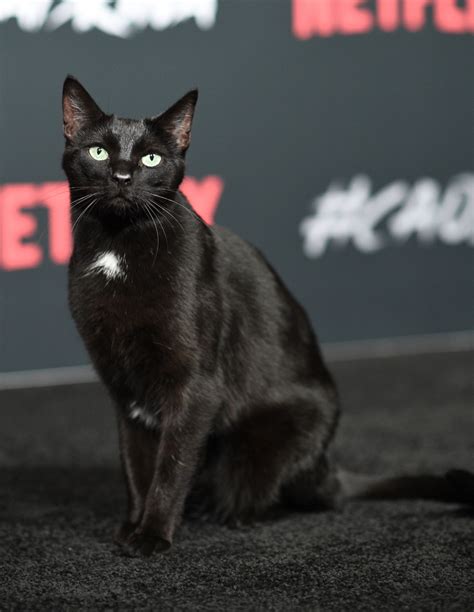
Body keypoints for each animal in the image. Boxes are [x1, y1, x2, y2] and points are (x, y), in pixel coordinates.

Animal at [63, 75, 474, 556]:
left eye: (151, 158)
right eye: (99, 152)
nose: (123, 176)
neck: (119, 247)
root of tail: (325, 466)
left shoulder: (195, 386)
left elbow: (170, 465)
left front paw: (152, 535)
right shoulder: (125, 391)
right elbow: (136, 467)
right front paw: (132, 526)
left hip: (269, 438)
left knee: (268, 495)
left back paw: (225, 512)